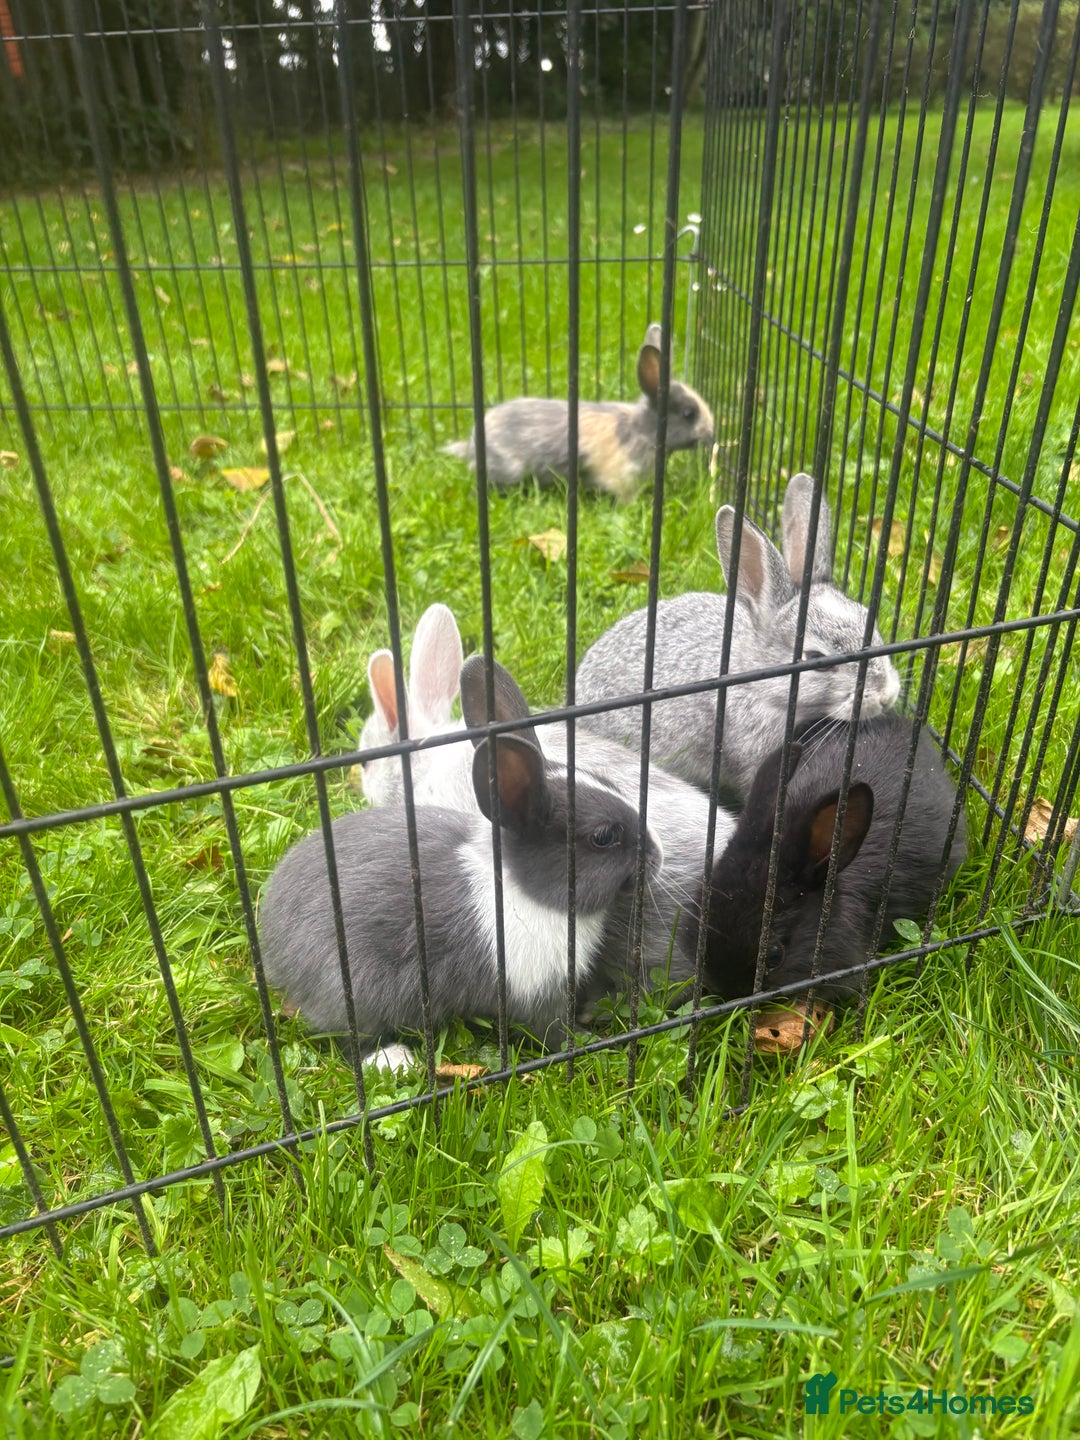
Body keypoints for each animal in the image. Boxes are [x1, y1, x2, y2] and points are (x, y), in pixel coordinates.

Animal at [259, 655, 664, 1049]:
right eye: (602, 837)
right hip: (355, 988)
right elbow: (551, 1032)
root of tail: (272, 941)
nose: (657, 857)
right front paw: (588, 1043)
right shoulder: (534, 994)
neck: (523, 890)